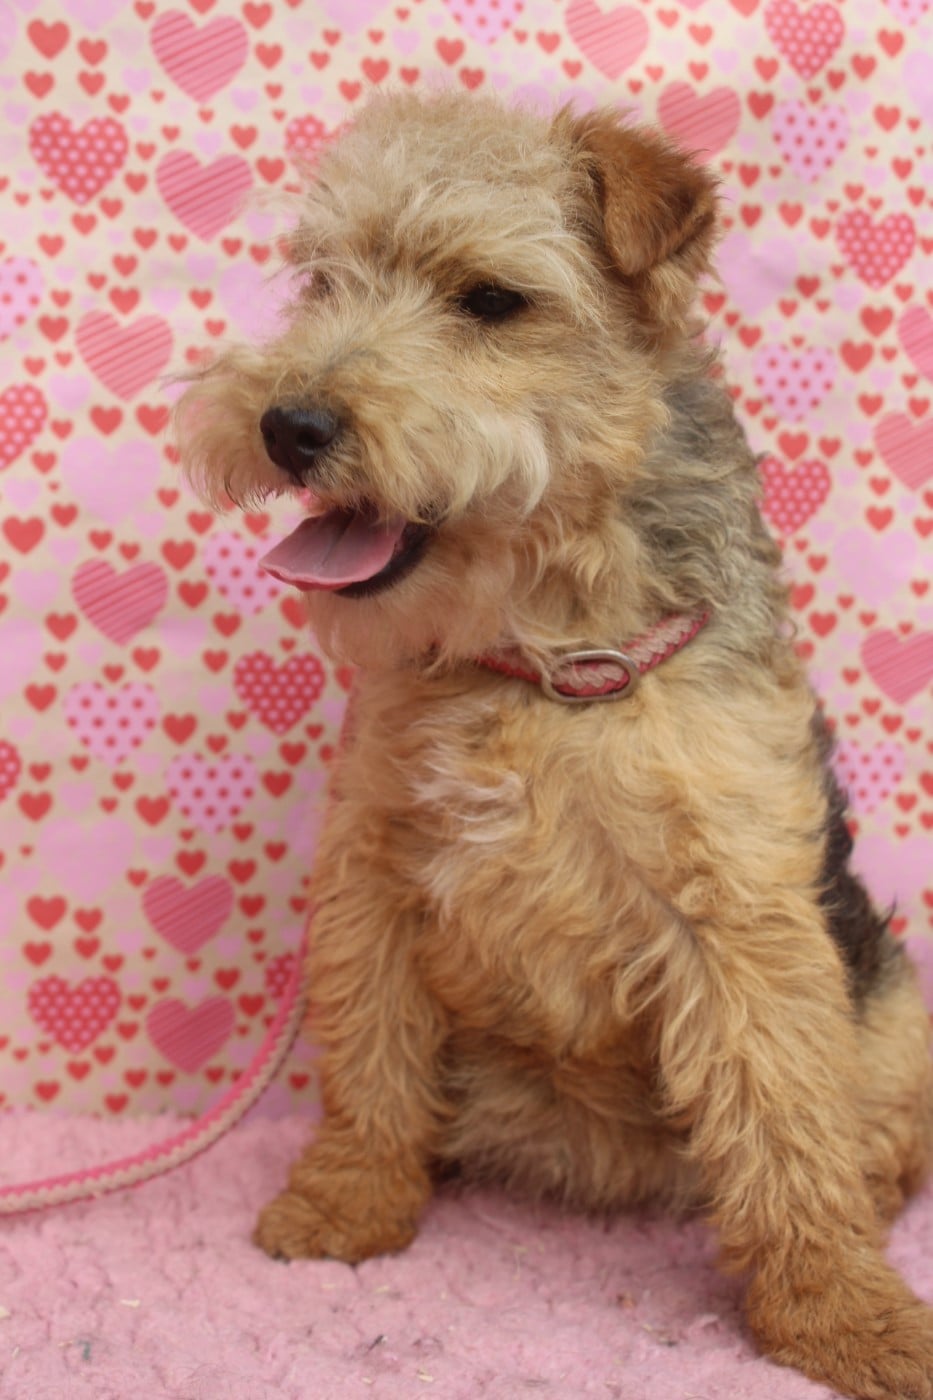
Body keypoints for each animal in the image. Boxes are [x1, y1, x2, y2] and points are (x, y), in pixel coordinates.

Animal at [176, 91, 933, 1399]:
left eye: (490, 300)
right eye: (322, 280)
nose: (288, 423)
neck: (540, 655)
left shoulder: (738, 911)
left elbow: (786, 1118)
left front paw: (841, 1311)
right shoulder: (376, 871)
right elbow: (370, 1066)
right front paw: (349, 1202)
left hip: (895, 1005)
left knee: (869, 1121)